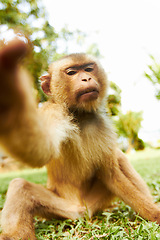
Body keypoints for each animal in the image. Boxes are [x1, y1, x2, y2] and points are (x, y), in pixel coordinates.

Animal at [0, 39, 160, 240]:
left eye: (89, 69)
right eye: (71, 73)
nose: (86, 79)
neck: (81, 116)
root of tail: (82, 211)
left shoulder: (102, 125)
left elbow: (111, 173)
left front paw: (154, 214)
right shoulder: (54, 112)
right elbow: (41, 150)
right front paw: (9, 100)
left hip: (94, 202)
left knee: (120, 158)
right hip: (62, 208)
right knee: (20, 186)